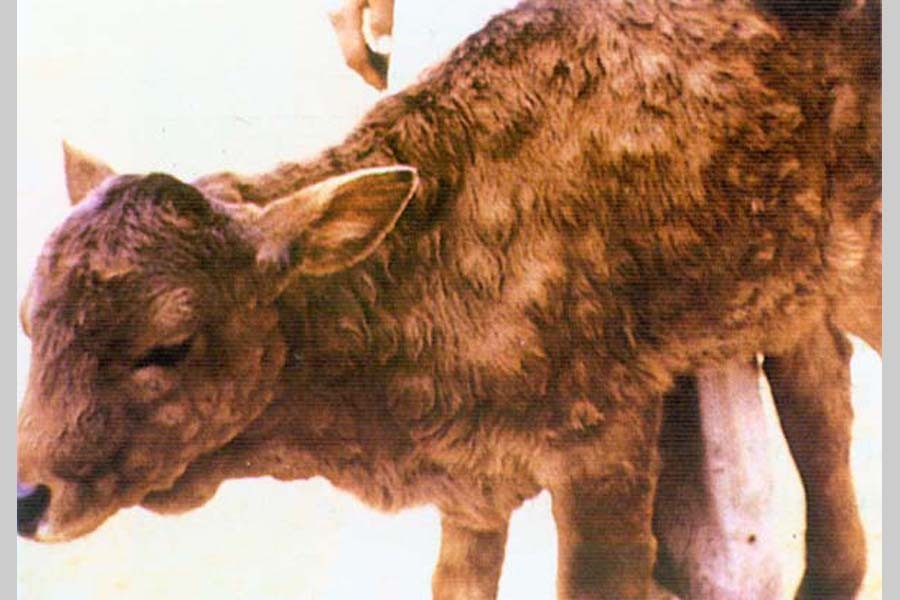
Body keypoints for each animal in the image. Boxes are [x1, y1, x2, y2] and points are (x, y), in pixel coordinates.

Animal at [17, 1, 880, 598]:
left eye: (167, 345)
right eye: (29, 325)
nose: (27, 496)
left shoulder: (604, 442)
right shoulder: (472, 483)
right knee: (820, 396)